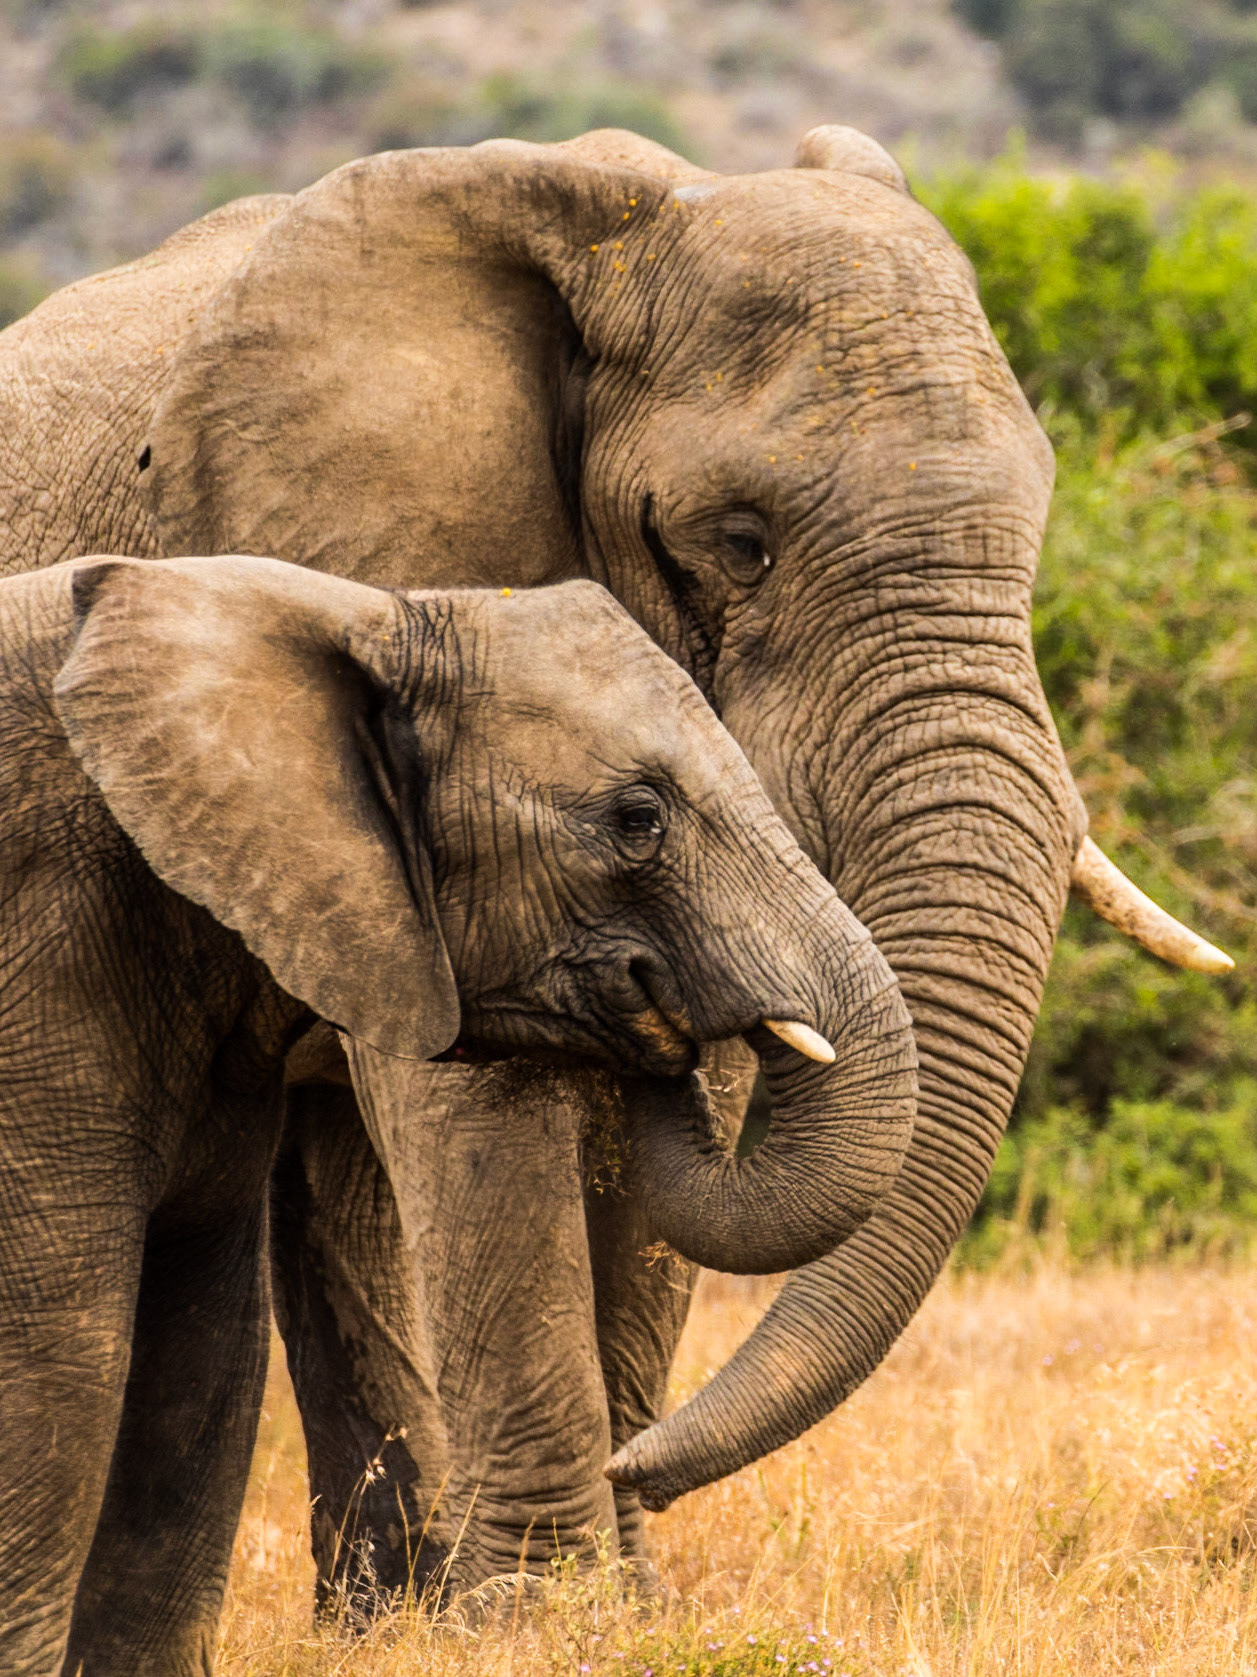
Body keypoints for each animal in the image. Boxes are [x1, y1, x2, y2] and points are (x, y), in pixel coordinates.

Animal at [0, 551, 916, 1676]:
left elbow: (203, 1351)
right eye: (637, 818)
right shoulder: (41, 948)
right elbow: (60, 1348)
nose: (630, 1467)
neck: (367, 614)